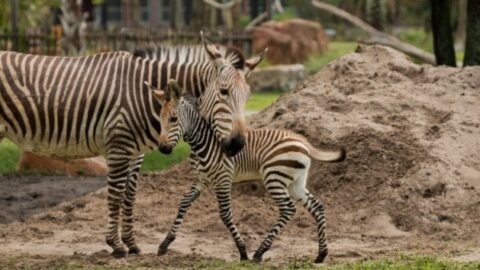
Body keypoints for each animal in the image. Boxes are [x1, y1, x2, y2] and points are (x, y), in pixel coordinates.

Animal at [0, 36, 262, 258]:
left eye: (248, 97)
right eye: (224, 91)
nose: (237, 145)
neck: (144, 95)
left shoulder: (136, 152)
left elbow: (130, 194)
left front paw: (132, 244)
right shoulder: (119, 145)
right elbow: (115, 195)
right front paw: (116, 246)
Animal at [151, 79, 344, 262]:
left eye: (173, 119)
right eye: (160, 119)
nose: (163, 149)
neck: (202, 143)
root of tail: (303, 142)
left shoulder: (223, 179)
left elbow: (225, 215)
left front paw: (243, 252)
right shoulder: (201, 179)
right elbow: (183, 203)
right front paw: (165, 244)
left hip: (274, 177)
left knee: (288, 209)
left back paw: (259, 253)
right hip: (295, 182)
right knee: (317, 207)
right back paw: (321, 255)